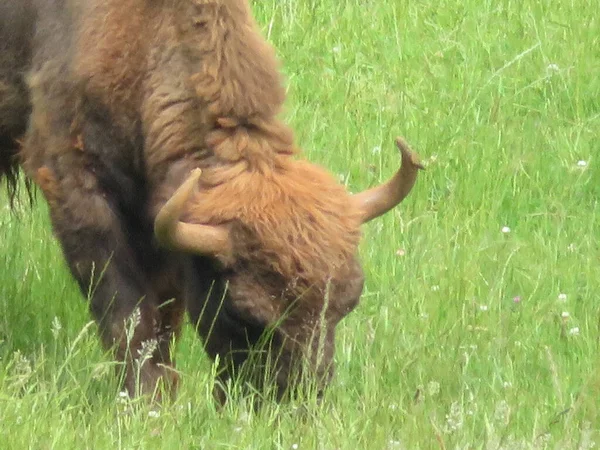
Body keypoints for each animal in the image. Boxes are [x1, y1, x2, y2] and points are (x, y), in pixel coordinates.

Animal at [0, 0, 422, 400]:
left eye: (346, 304)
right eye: (242, 313)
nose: (292, 401)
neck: (145, 33)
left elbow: (165, 312)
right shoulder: (77, 186)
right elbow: (127, 312)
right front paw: (148, 399)